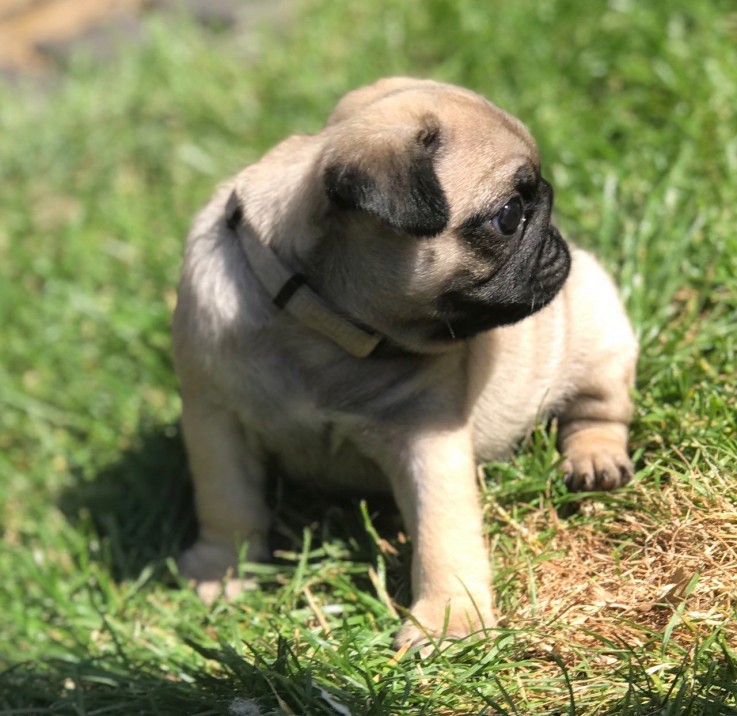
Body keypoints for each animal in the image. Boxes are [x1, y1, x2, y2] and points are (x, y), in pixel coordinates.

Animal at [170, 78, 636, 648]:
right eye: (508, 216)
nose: (555, 237)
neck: (318, 329)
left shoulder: (426, 438)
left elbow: (443, 534)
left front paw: (449, 622)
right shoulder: (216, 418)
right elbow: (227, 503)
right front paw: (222, 572)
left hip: (597, 329)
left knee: (599, 410)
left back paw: (594, 460)